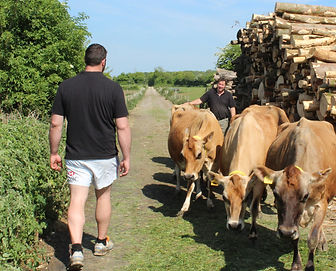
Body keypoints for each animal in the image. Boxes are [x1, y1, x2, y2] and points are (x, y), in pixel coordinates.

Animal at [207, 104, 288, 238]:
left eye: (245, 198)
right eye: (224, 198)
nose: (234, 225)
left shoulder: (259, 181)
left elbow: (254, 206)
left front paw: (253, 232)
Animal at [255, 118, 336, 271]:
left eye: (305, 196)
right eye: (276, 195)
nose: (285, 233)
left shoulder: (321, 203)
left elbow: (313, 237)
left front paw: (310, 265)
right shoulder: (293, 218)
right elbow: (295, 237)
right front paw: (296, 263)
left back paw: (322, 242)